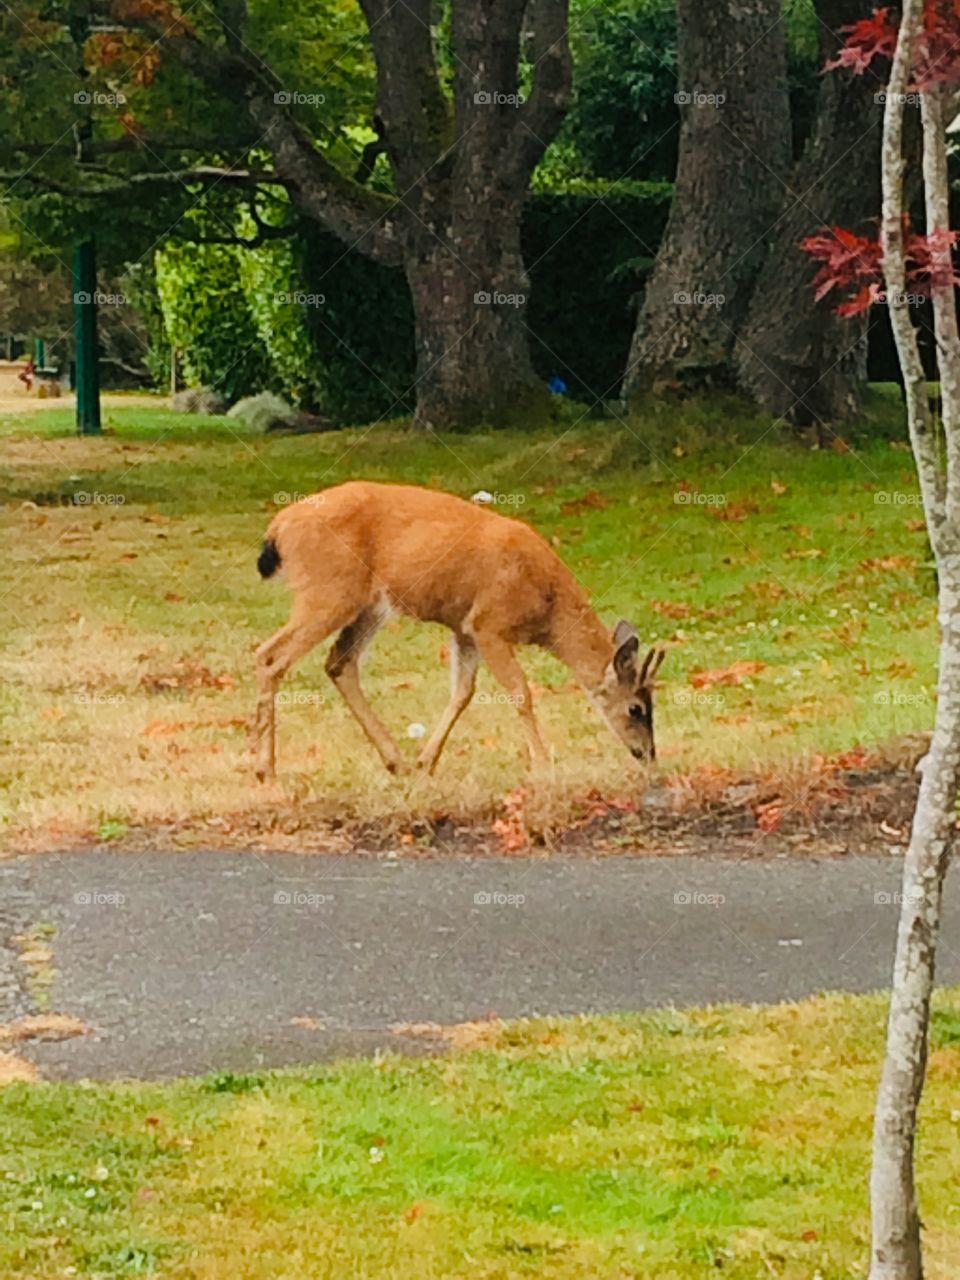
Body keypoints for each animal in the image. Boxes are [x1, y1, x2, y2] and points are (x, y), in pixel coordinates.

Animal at [252, 481, 666, 780]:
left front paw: (427, 761)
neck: (548, 606)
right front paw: (543, 766)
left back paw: (396, 761)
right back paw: (264, 770)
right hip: (328, 592)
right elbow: (521, 692)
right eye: (636, 708)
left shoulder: (464, 627)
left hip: (368, 605)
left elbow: (463, 692)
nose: (648, 755)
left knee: (338, 662)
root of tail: (279, 528)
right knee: (270, 655)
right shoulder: (489, 623)